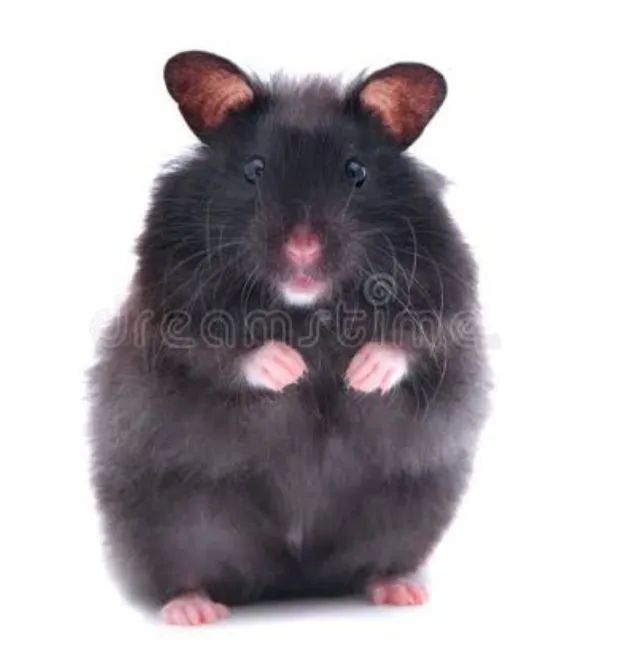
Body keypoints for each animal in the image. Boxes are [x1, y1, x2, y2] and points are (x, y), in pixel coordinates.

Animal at [89, 50, 489, 625]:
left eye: (355, 171)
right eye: (254, 170)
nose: (302, 249)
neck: (307, 308)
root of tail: (293, 575)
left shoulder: (445, 296)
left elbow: (412, 342)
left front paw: (360, 375)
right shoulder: (172, 302)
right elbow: (218, 349)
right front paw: (291, 369)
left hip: (407, 510)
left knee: (374, 561)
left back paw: (399, 591)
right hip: (171, 519)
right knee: (183, 567)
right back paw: (193, 610)